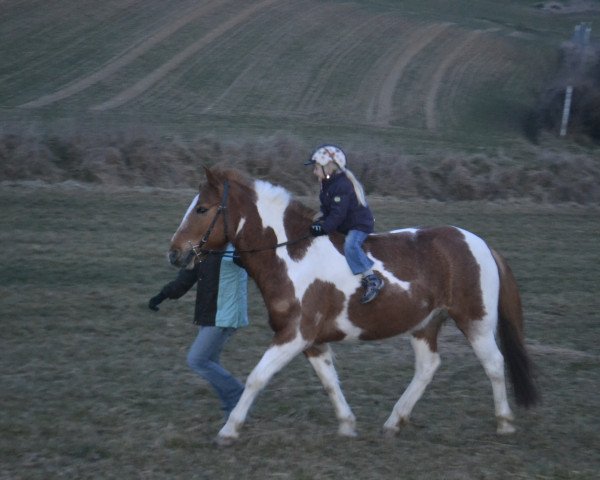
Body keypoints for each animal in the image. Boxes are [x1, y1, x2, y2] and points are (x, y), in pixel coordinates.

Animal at [166, 166, 536, 446]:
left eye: (202, 209)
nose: (174, 253)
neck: (291, 255)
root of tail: (479, 242)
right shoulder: (312, 342)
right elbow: (330, 382)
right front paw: (347, 424)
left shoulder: (294, 335)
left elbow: (257, 377)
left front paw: (229, 430)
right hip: (424, 324)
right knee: (428, 367)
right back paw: (394, 422)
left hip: (475, 320)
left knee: (494, 363)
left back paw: (504, 422)